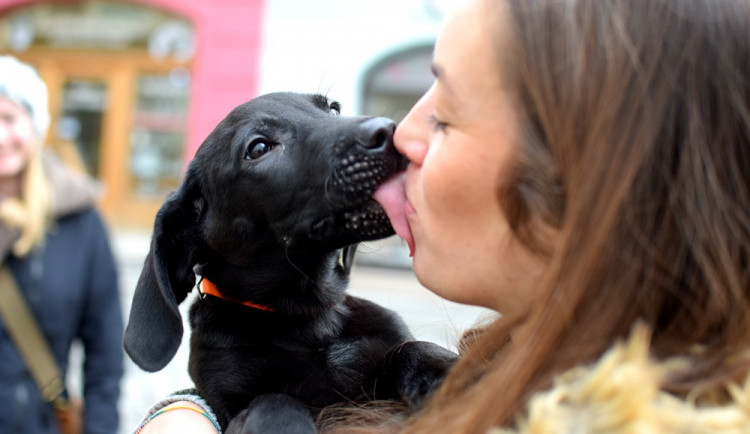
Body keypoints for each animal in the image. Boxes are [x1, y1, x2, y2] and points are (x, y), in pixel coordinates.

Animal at [123, 91, 458, 430]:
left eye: (332, 110)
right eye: (259, 148)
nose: (389, 131)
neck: (308, 318)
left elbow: (416, 348)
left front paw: (445, 373)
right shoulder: (230, 405)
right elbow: (275, 402)